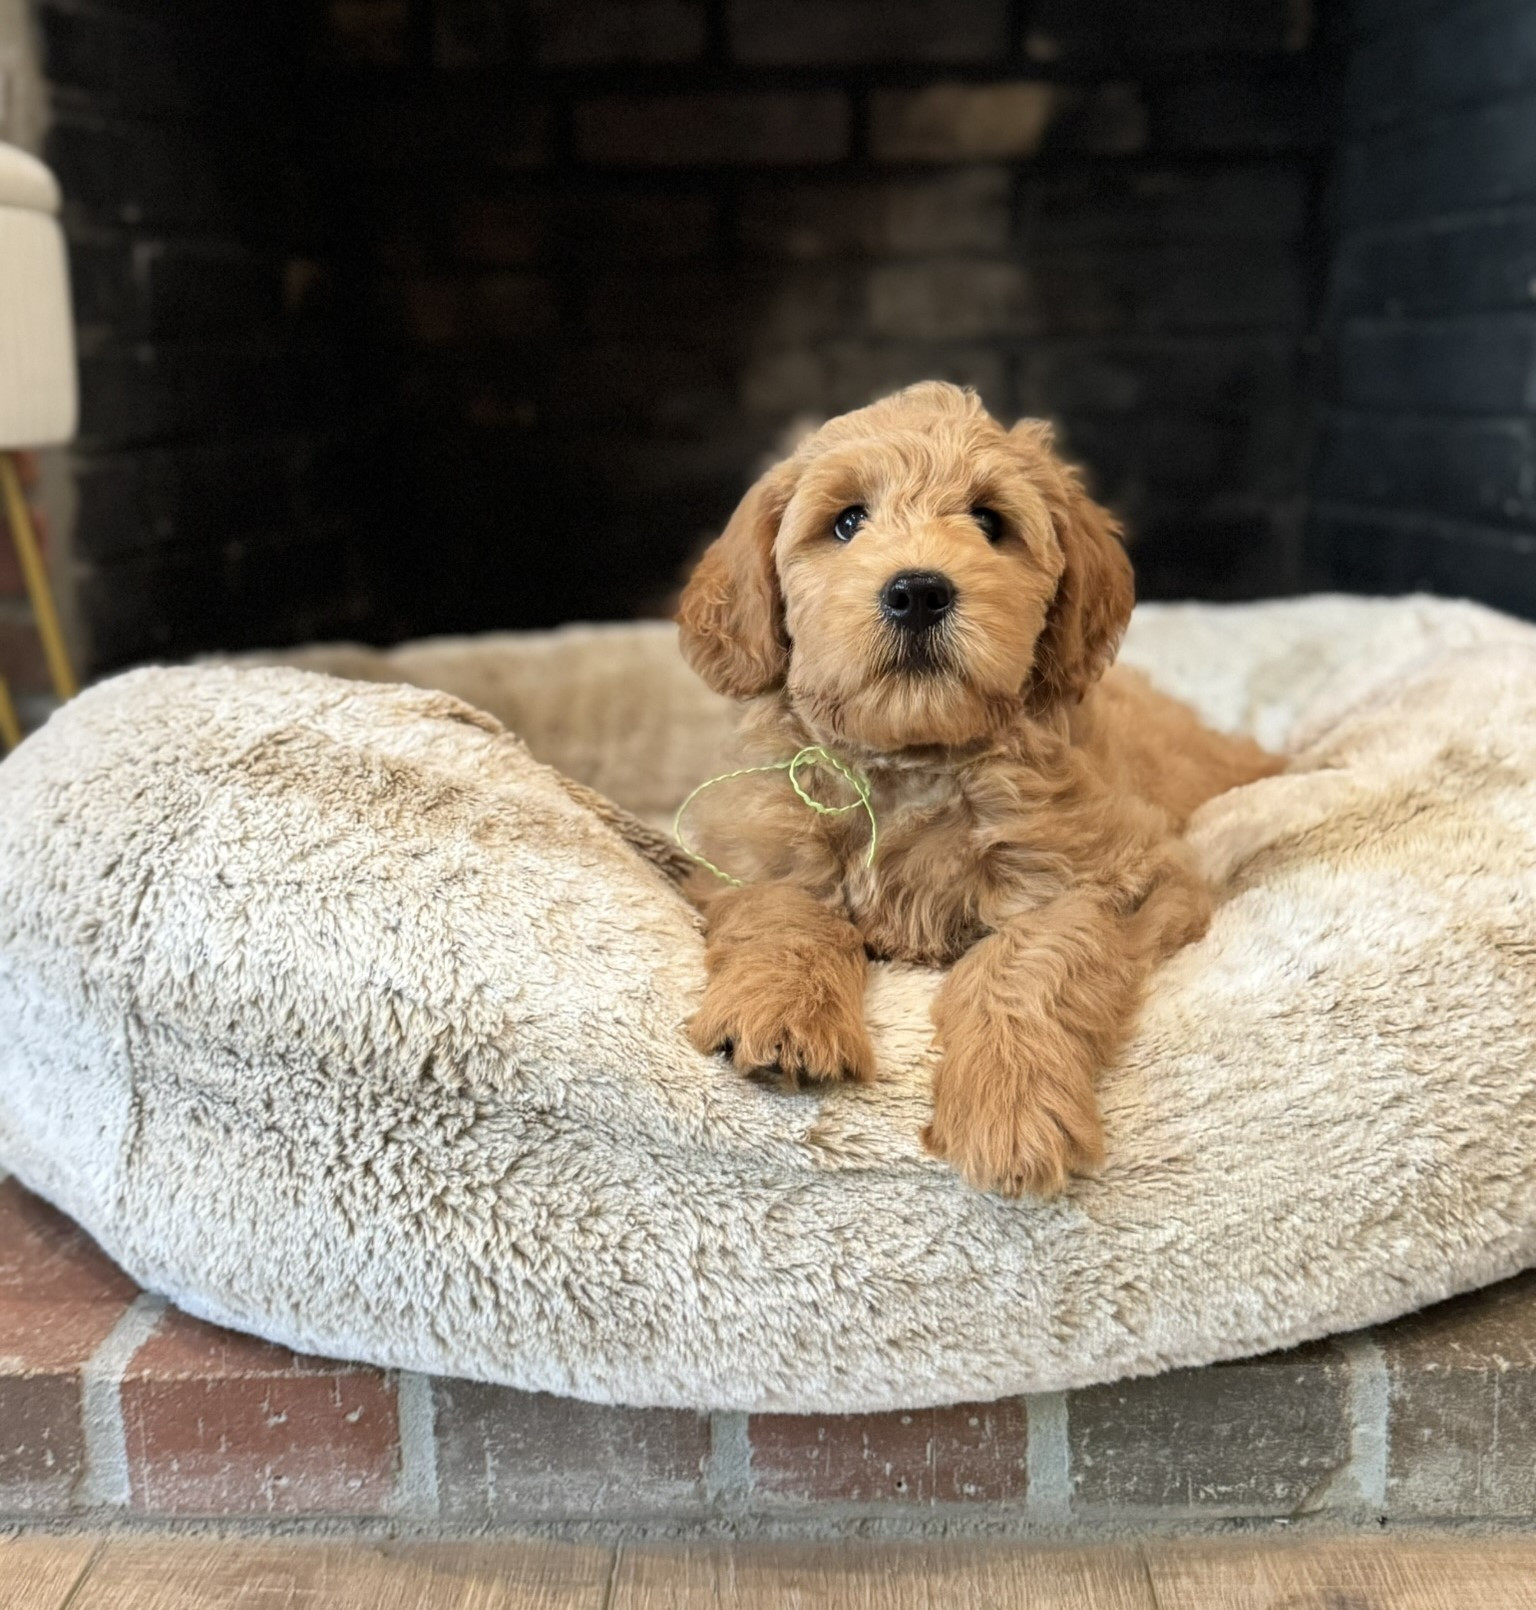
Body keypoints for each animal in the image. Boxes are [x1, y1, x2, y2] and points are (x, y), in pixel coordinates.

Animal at [675, 382, 1281, 1196]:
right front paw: (781, 1013)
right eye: (848, 521)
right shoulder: (751, 855)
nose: (918, 591)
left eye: (990, 522)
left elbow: (1025, 964)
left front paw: (1012, 1106)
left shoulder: (1112, 879)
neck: (913, 764)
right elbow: (788, 912)